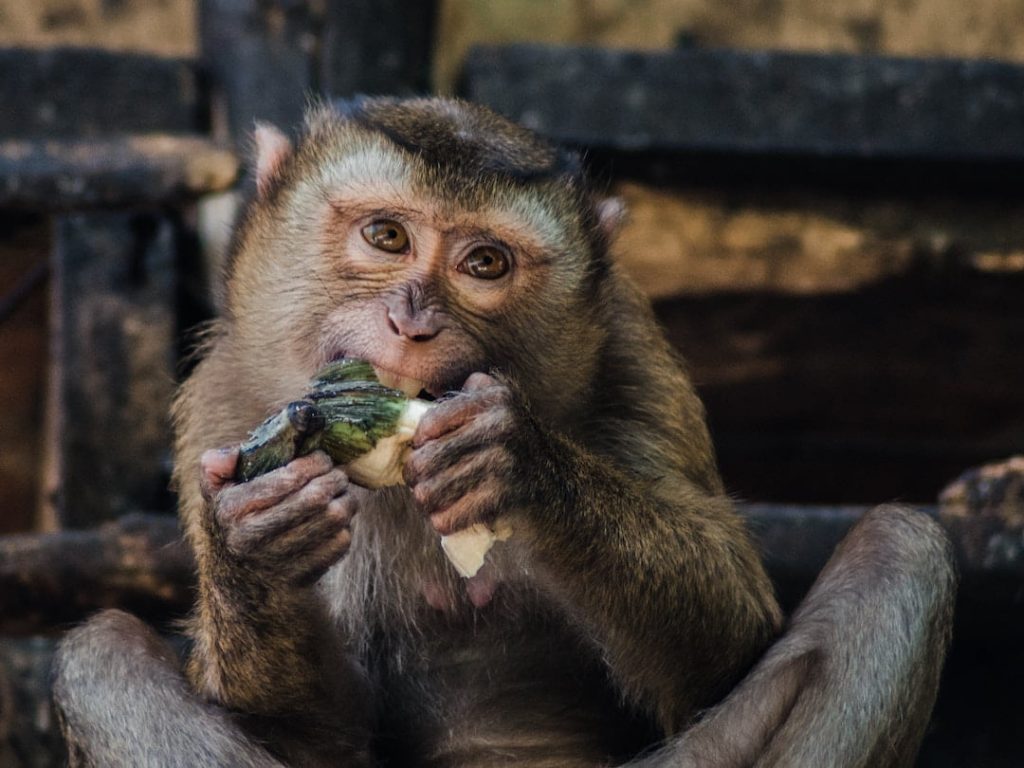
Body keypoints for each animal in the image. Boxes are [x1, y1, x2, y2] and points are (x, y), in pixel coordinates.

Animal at [51, 99, 954, 765]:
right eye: (387, 236)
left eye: (484, 264)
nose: (411, 321)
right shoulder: (221, 402)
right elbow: (313, 734)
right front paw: (256, 545)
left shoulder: (634, 354)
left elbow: (723, 653)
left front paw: (517, 461)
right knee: (102, 658)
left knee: (898, 556)